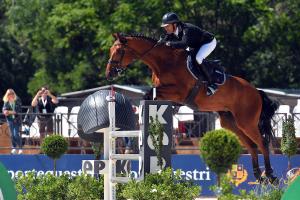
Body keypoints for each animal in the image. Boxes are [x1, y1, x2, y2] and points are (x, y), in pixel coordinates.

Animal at [105, 32, 278, 182]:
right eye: (110, 50)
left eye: (118, 51)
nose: (109, 74)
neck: (164, 62)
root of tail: (256, 91)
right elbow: (152, 95)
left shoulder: (178, 92)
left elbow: (150, 93)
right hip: (230, 122)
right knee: (251, 146)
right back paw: (259, 177)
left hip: (246, 122)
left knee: (262, 143)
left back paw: (271, 176)